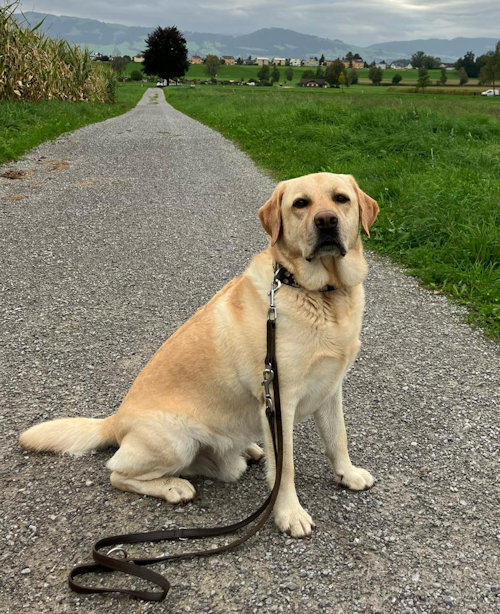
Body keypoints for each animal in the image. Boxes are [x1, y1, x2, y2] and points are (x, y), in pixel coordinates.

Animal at [20, 172, 379, 538]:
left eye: (340, 199)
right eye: (300, 204)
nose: (326, 221)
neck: (321, 295)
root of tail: (115, 421)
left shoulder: (330, 389)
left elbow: (338, 439)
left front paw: (348, 475)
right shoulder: (280, 401)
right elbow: (286, 467)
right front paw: (290, 513)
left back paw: (249, 449)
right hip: (176, 441)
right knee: (117, 473)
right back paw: (174, 487)